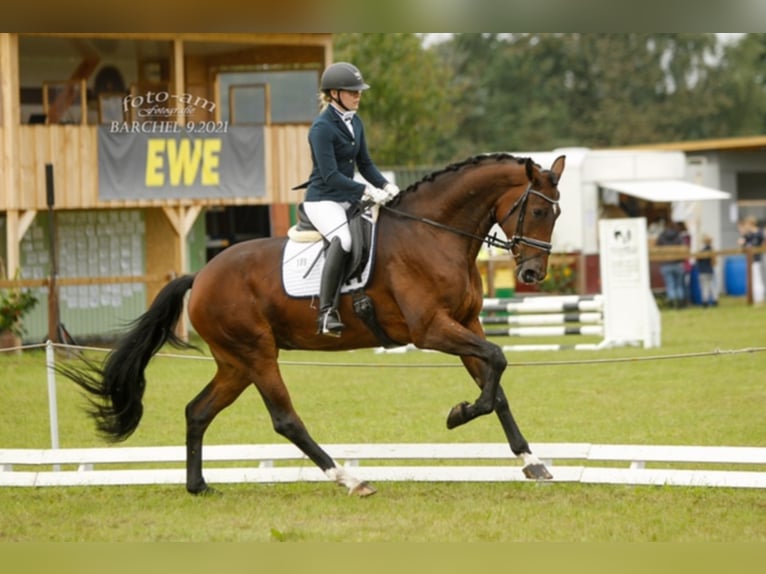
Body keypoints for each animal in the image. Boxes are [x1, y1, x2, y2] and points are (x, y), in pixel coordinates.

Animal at [63, 153, 568, 500]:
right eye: (537, 211)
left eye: (557, 213)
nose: (532, 274)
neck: (435, 232)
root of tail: (200, 275)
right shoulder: (431, 329)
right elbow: (497, 364)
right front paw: (459, 413)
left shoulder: (467, 324)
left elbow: (496, 384)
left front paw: (533, 462)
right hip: (257, 354)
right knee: (285, 419)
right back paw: (350, 478)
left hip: (234, 363)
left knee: (197, 411)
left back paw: (199, 485)